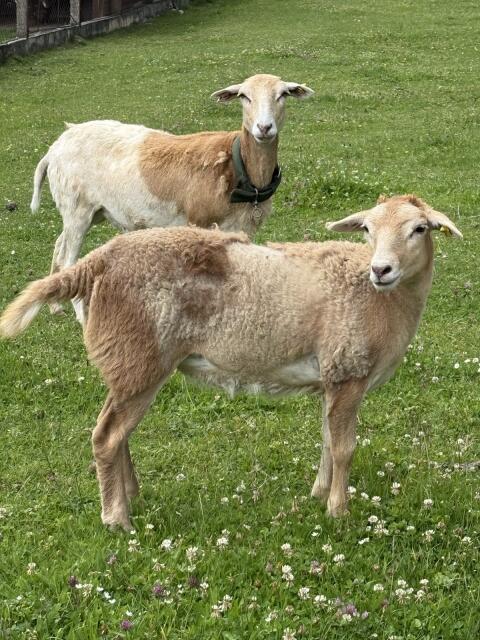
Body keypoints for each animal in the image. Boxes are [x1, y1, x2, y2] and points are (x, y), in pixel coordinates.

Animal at [0, 195, 462, 531]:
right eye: (367, 229)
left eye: (419, 229)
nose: (381, 269)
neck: (382, 300)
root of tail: (94, 263)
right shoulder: (350, 369)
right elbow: (345, 447)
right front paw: (339, 512)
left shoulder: (332, 374)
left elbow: (328, 440)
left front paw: (319, 493)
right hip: (137, 355)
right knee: (106, 437)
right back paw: (117, 519)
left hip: (129, 363)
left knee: (115, 433)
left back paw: (129, 495)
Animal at [30, 74, 314, 321]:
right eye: (244, 96)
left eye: (283, 94)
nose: (264, 128)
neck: (239, 166)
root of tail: (54, 148)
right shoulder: (199, 220)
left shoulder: (242, 227)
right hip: (77, 205)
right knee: (68, 258)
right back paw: (81, 315)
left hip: (88, 210)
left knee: (59, 244)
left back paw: (55, 305)